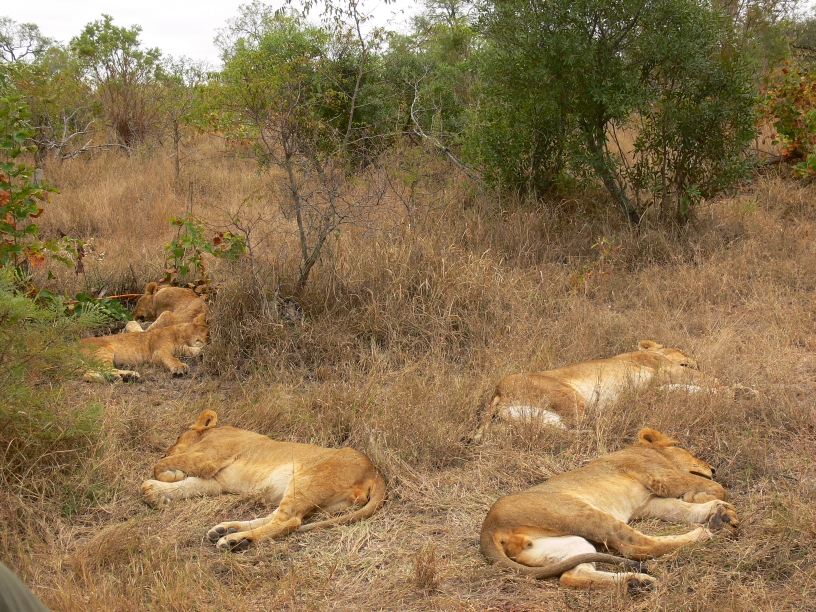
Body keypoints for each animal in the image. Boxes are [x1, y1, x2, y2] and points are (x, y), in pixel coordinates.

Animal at [140, 410, 387, 551]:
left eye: (177, 437)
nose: (164, 452)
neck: (213, 433)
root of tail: (374, 470)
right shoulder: (216, 481)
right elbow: (186, 486)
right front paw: (156, 494)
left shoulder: (209, 458)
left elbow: (162, 467)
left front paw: (169, 475)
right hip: (314, 497)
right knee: (276, 517)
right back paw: (226, 531)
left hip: (306, 480)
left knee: (288, 522)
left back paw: (233, 541)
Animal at [472, 340, 747, 442]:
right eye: (681, 349)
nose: (697, 359)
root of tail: (497, 390)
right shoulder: (665, 370)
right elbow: (708, 381)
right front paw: (739, 391)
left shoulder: (655, 386)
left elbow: (688, 391)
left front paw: (736, 394)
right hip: (570, 396)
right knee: (582, 425)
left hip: (522, 421)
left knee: (559, 432)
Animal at [480, 427, 738, 591]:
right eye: (689, 451)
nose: (714, 468)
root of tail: (488, 528)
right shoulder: (660, 476)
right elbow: (716, 488)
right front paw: (708, 501)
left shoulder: (648, 503)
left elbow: (680, 509)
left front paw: (718, 512)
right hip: (581, 512)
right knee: (638, 546)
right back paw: (705, 534)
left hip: (567, 543)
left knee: (572, 576)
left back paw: (636, 583)